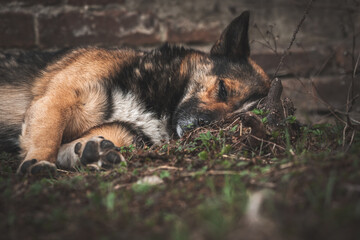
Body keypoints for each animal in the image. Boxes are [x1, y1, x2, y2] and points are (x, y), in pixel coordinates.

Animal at [0, 11, 270, 175]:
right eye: (223, 89)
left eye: (234, 121)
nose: (205, 126)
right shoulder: (58, 98)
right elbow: (49, 134)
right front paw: (39, 161)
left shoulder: (126, 130)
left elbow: (88, 139)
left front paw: (91, 152)